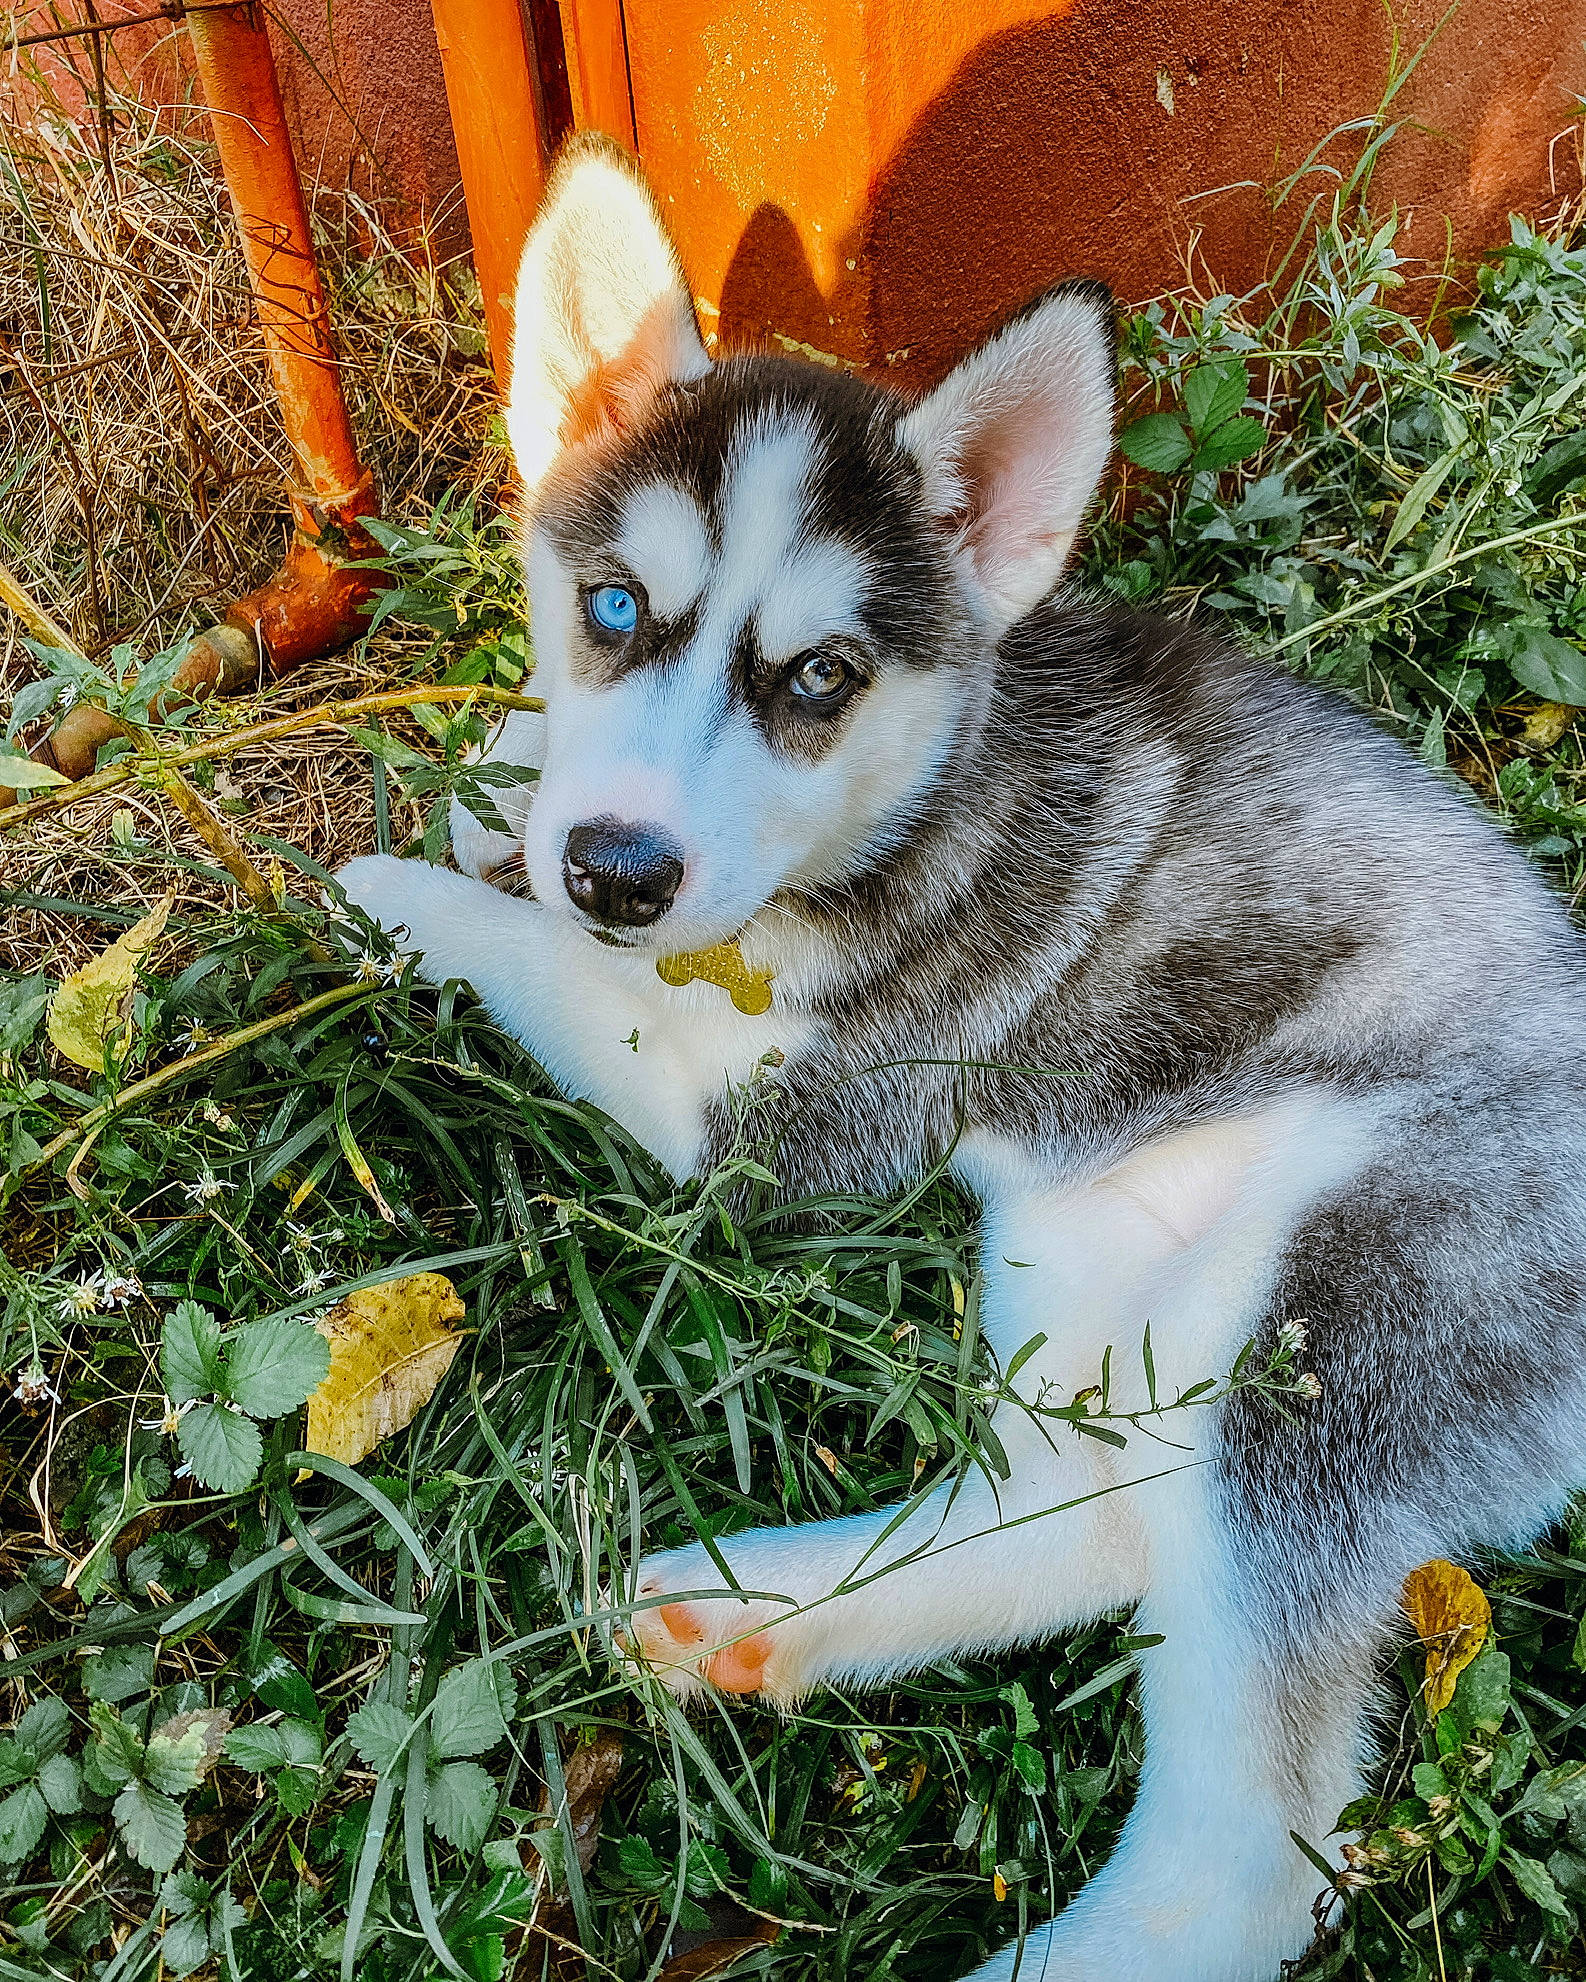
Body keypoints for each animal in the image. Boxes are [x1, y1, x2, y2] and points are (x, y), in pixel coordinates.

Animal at [339, 136, 1586, 1981]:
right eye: (614, 606)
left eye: (822, 675)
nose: (620, 868)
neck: (892, 811)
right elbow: (520, 791)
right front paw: (497, 788)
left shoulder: (775, 1119)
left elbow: (552, 971)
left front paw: (392, 897)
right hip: (1095, 1258)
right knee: (1081, 1513)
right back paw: (751, 1609)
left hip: (1341, 1322)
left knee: (1247, 1844)